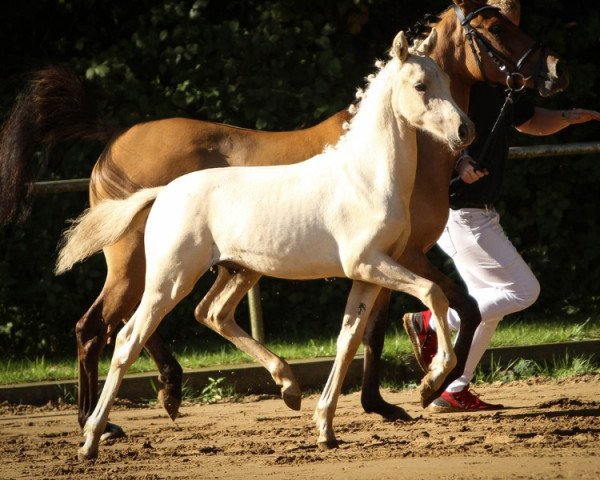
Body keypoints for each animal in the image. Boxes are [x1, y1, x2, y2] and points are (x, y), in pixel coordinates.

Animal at [0, 0, 568, 436]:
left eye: (447, 82)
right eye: (419, 85)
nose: (466, 131)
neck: (369, 172)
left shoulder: (377, 269)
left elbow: (358, 335)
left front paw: (342, 418)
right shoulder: (383, 262)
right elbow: (434, 302)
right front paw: (425, 387)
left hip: (232, 269)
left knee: (199, 315)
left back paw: (257, 388)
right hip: (157, 271)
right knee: (111, 331)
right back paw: (98, 428)